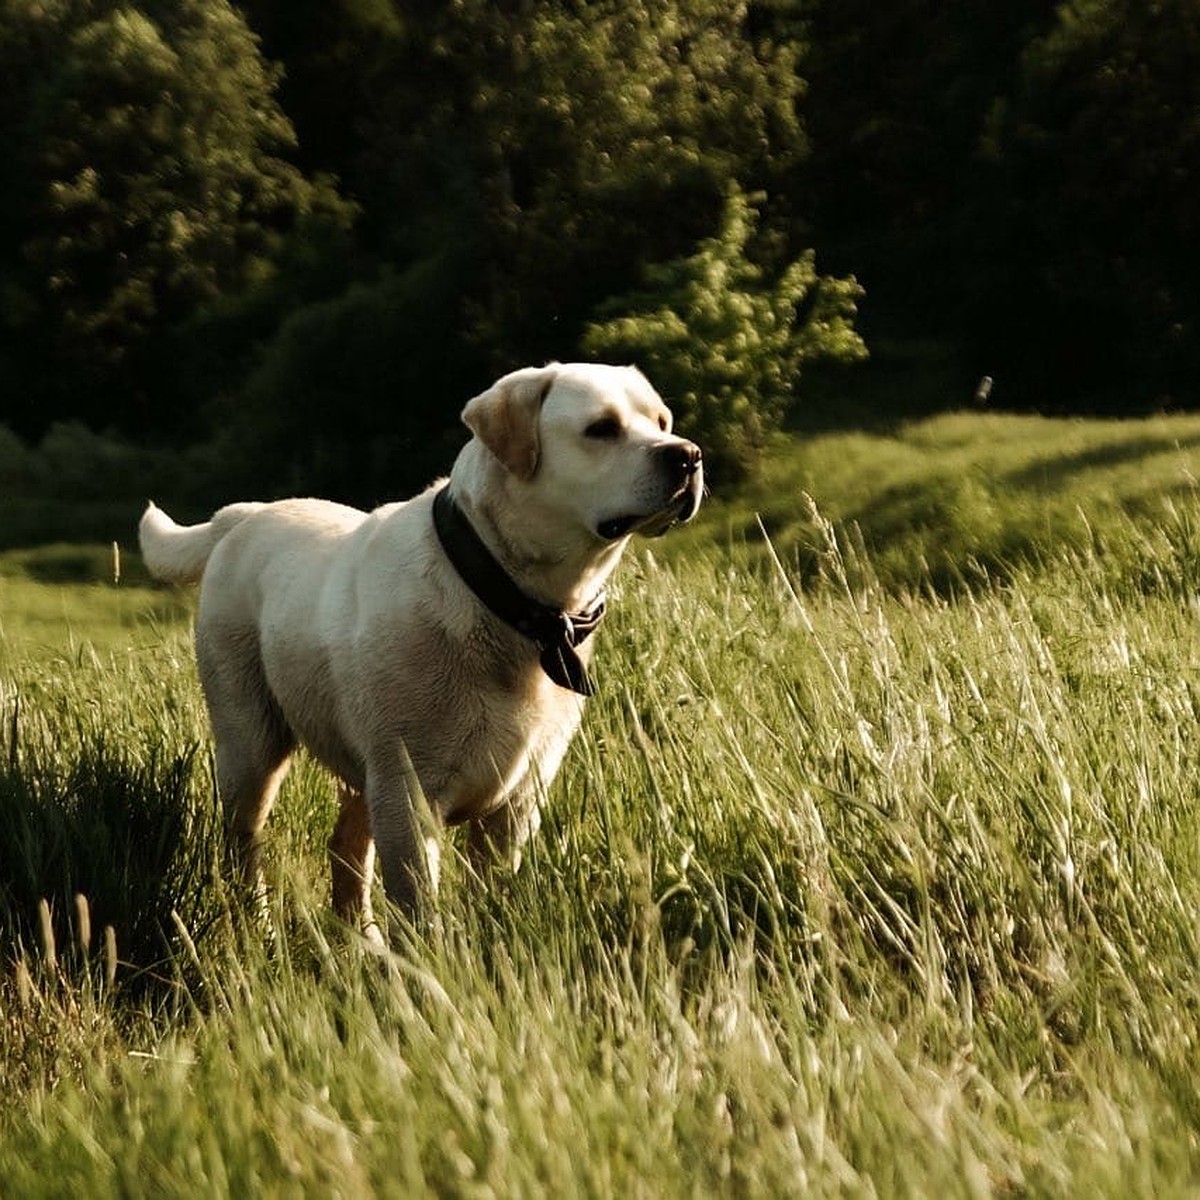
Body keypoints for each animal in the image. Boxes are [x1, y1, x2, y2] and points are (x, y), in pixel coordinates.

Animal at [139, 360, 700, 931]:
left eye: (661, 421)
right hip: (251, 744)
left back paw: (360, 938)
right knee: (243, 844)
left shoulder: (517, 801)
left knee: (343, 845)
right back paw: (260, 925)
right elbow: (420, 907)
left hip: (361, 766)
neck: (508, 601)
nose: (687, 454)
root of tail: (244, 515)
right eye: (601, 429)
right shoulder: (408, 795)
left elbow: (488, 893)